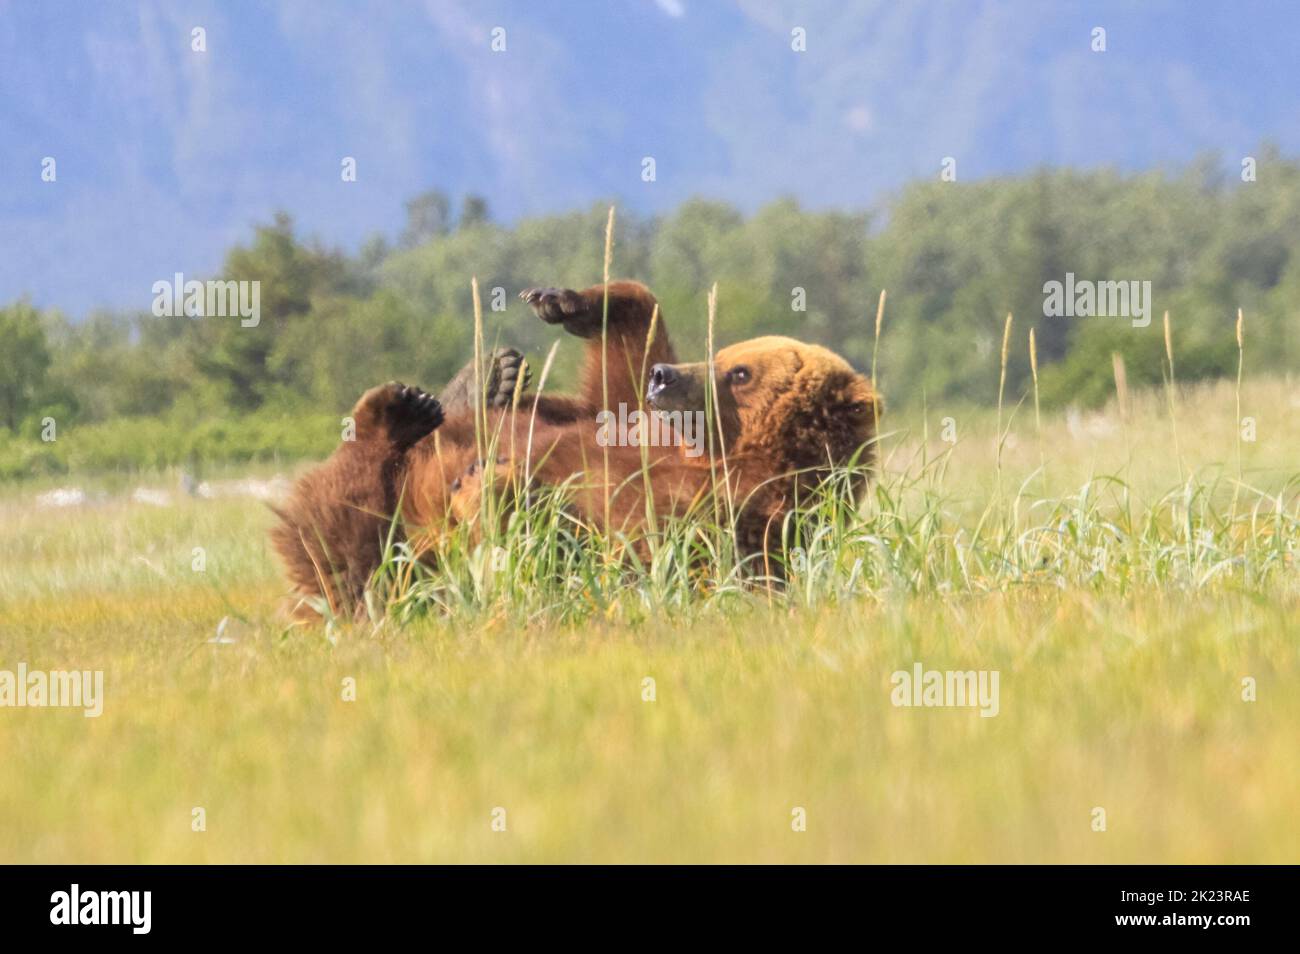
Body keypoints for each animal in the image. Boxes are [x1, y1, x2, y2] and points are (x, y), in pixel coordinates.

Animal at [274, 280, 883, 621]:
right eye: (724, 353)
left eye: (741, 373)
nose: (666, 377)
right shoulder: (638, 428)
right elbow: (613, 388)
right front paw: (568, 302)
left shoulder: (719, 511)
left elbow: (583, 543)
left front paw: (490, 483)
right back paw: (469, 387)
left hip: (394, 566)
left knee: (347, 542)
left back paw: (403, 419)